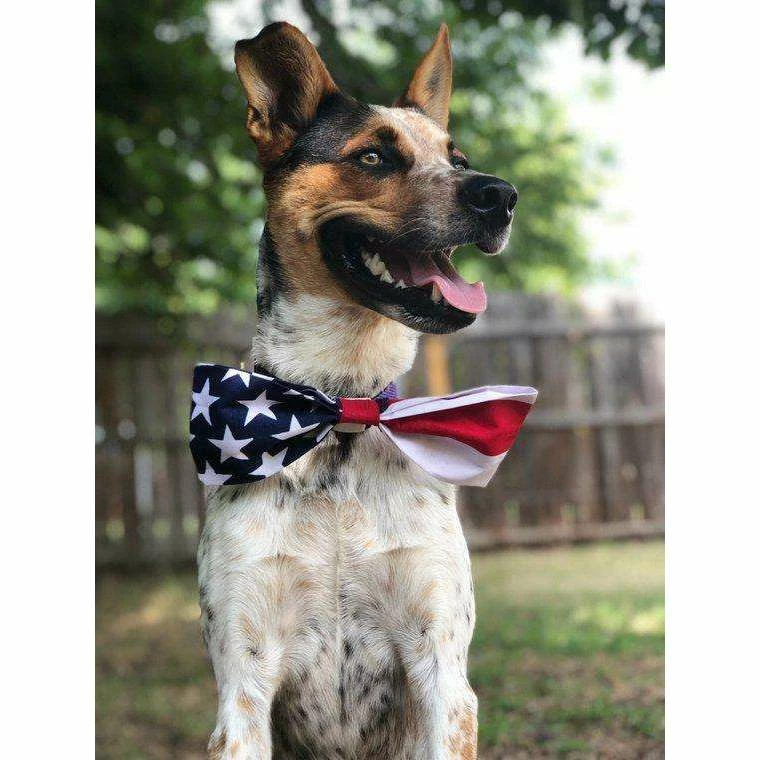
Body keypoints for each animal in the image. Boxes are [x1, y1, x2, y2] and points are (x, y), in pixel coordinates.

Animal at [197, 21, 517, 759]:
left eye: (458, 159)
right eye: (372, 156)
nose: (500, 194)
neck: (343, 410)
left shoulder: (443, 674)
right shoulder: (243, 685)